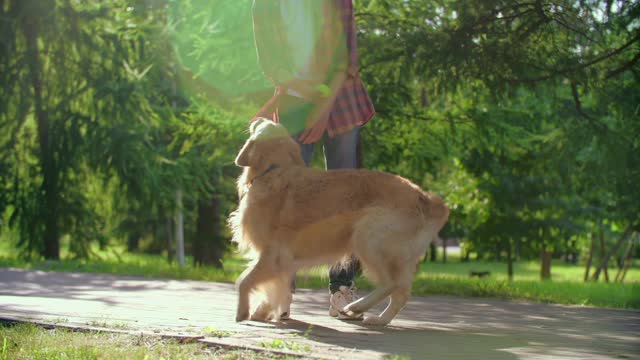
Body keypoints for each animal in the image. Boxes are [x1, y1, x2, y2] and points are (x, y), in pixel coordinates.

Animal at [228, 118, 448, 326]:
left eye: (264, 124)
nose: (258, 118)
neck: (274, 169)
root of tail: (425, 198)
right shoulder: (283, 261)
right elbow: (276, 289)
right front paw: (264, 312)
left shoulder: (273, 254)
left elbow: (244, 281)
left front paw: (243, 312)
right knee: (400, 294)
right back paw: (379, 319)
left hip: (368, 237)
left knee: (390, 284)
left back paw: (355, 306)